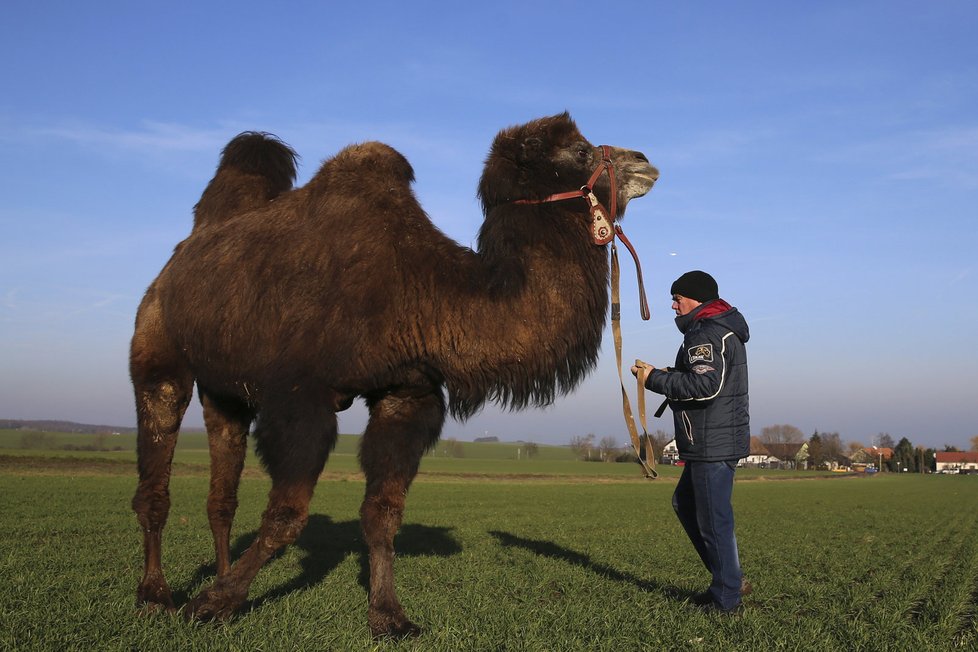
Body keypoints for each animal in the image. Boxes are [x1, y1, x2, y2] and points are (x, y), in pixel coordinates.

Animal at [130, 113, 656, 636]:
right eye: (581, 151)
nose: (644, 161)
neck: (422, 288)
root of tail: (179, 258)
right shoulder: (299, 397)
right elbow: (287, 514)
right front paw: (213, 603)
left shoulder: (407, 393)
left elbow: (382, 513)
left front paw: (388, 614)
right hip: (158, 353)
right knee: (156, 477)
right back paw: (155, 597)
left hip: (225, 388)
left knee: (222, 489)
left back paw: (212, 574)